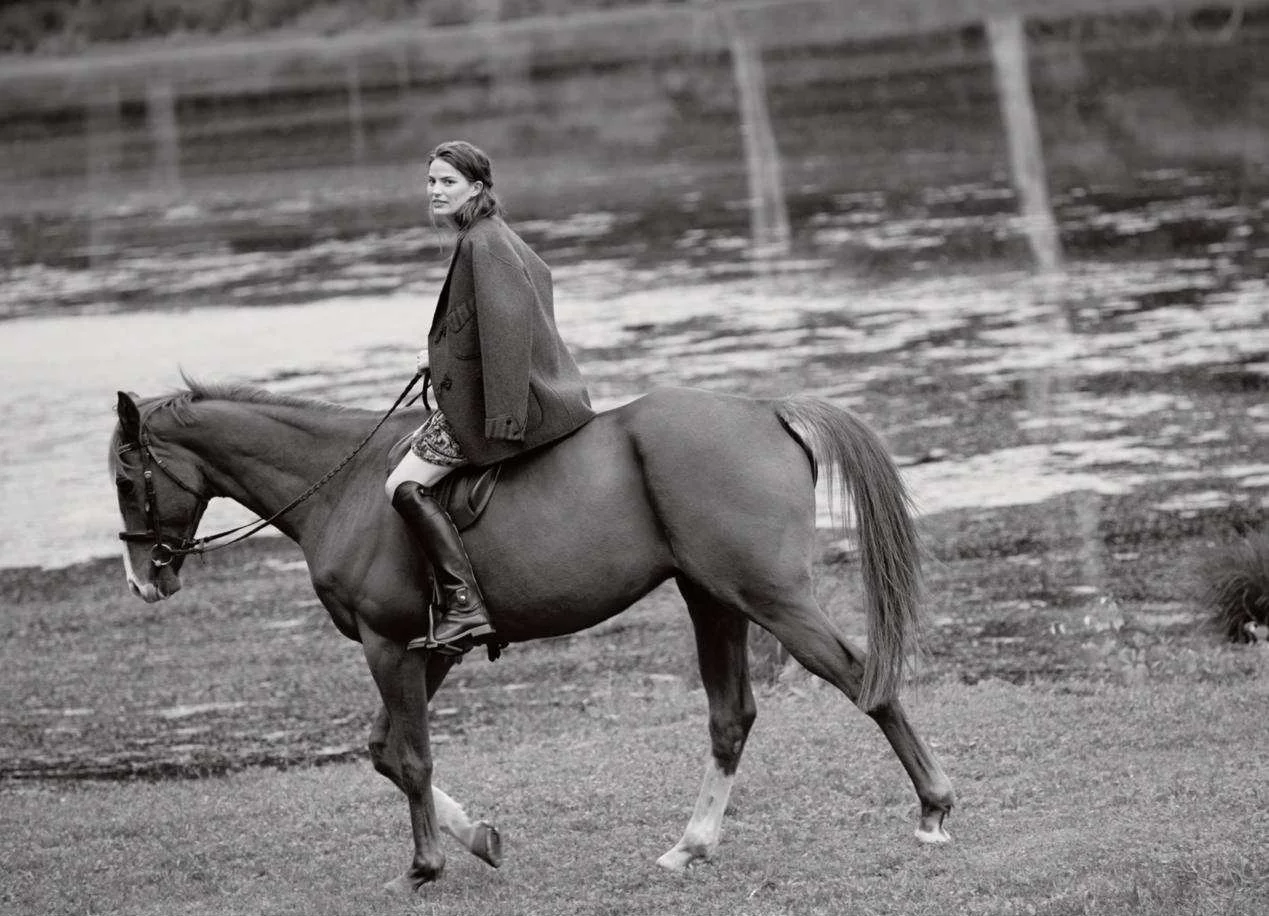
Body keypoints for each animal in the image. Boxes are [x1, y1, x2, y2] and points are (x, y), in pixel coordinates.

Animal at [111, 378, 954, 893]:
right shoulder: (427, 651)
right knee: (731, 717)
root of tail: (764, 409)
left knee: (862, 678)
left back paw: (933, 809)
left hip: (765, 595)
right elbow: (385, 750)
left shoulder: (390, 645)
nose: (144, 581)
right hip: (711, 598)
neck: (343, 487)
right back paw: (690, 845)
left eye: (125, 478)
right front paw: (478, 838)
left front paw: (423, 867)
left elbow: (409, 757)